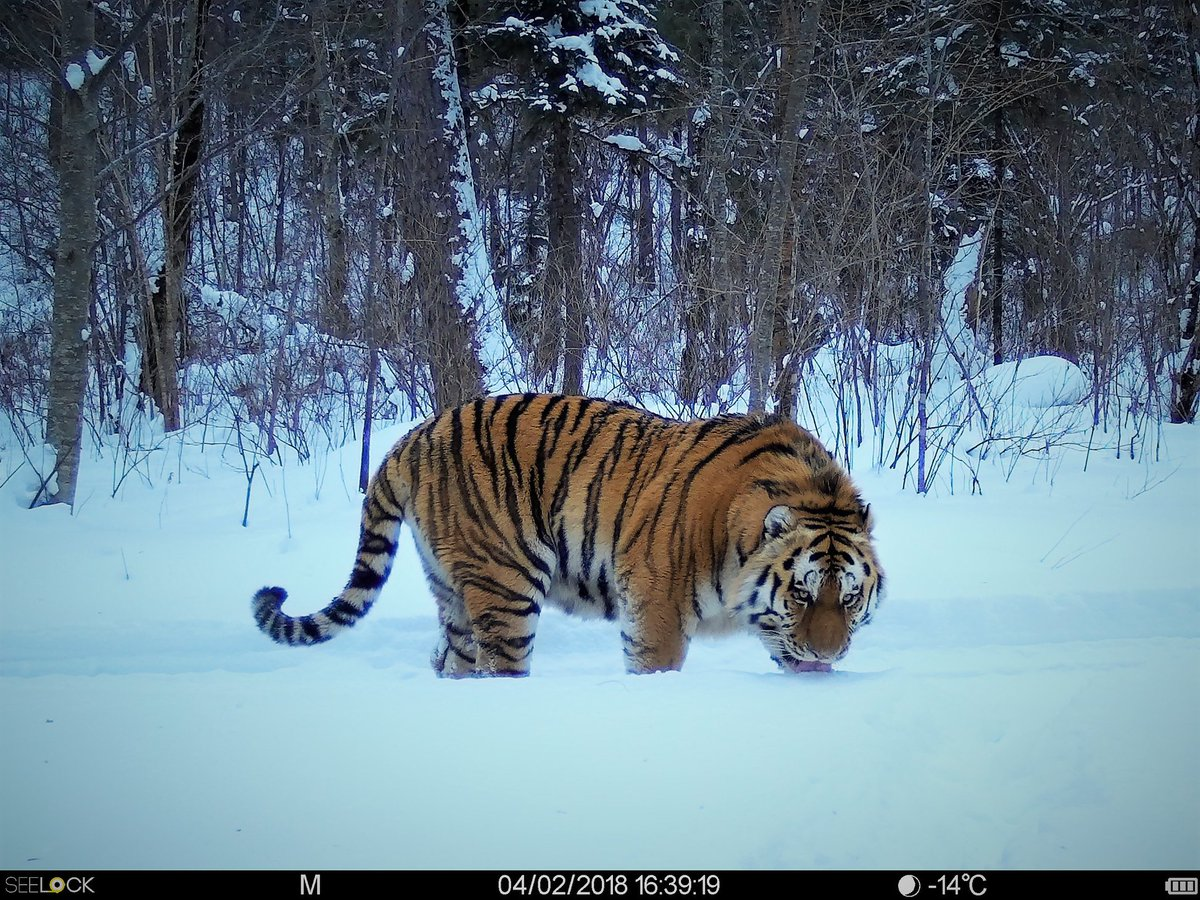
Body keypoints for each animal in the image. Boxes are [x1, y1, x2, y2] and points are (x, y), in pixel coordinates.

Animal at [252, 394, 885, 676]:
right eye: (801, 591)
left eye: (850, 595)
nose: (830, 652)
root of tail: (413, 436)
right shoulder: (656, 608)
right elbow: (656, 667)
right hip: (506, 587)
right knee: (499, 669)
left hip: (453, 594)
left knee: (454, 662)